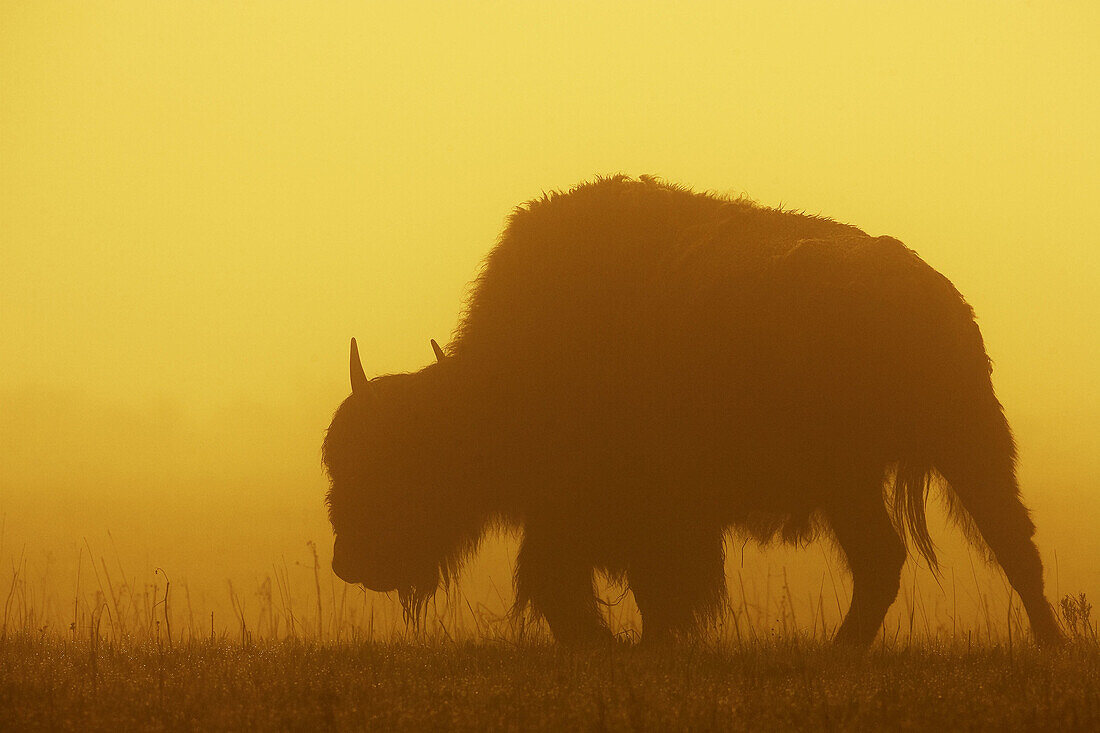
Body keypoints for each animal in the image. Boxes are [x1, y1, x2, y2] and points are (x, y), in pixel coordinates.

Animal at [323, 173, 1064, 642]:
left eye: (392, 462)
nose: (348, 563)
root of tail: (938, 293)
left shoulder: (627, 516)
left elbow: (603, 588)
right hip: (898, 469)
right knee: (948, 554)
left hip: (921, 460)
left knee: (978, 549)